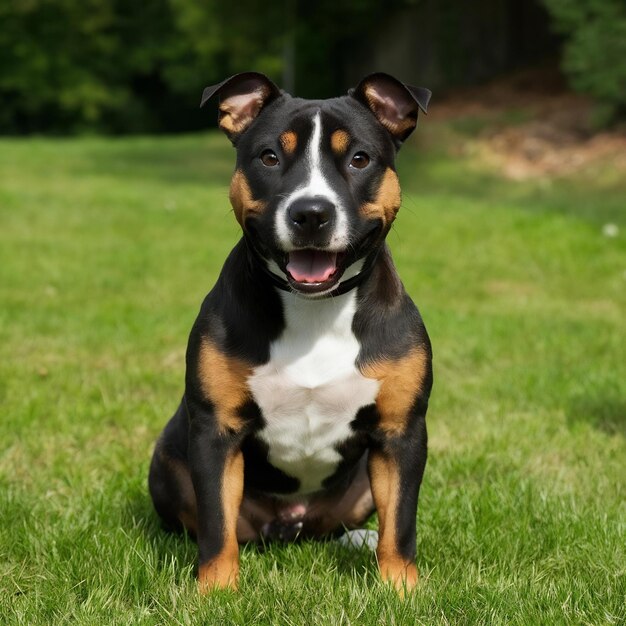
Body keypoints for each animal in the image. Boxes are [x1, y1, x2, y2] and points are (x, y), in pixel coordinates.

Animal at [149, 70, 432, 592]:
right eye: (269, 157)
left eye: (359, 158)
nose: (312, 213)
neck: (315, 309)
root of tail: (288, 526)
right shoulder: (215, 432)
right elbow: (216, 524)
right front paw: (214, 591)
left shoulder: (401, 433)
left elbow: (400, 523)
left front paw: (402, 590)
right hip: (167, 463)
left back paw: (358, 539)